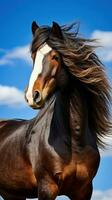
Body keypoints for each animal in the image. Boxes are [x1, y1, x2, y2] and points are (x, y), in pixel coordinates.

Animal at [0, 21, 110, 199]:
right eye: (33, 57)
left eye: (56, 57)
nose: (32, 96)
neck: (74, 142)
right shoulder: (47, 187)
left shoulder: (84, 191)